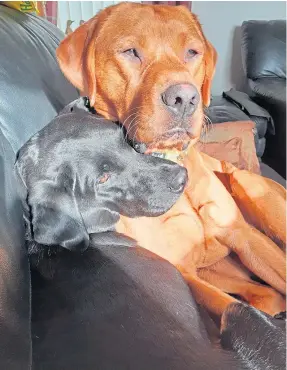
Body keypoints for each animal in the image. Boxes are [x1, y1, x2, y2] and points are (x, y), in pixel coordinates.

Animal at [56, 1, 286, 316]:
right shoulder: (185, 270)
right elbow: (231, 306)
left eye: (192, 52)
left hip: (250, 189)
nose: (186, 98)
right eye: (131, 51)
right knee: (267, 297)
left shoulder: (245, 236)